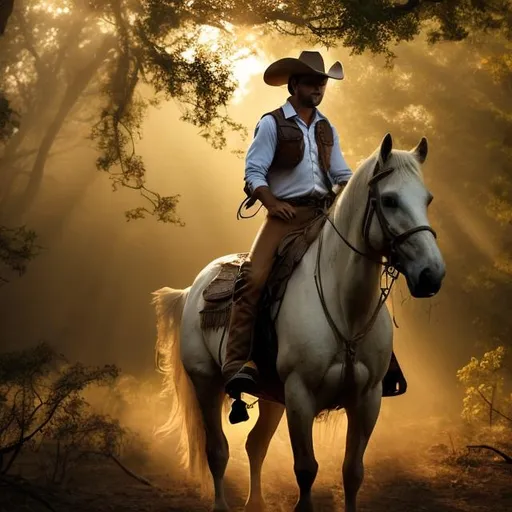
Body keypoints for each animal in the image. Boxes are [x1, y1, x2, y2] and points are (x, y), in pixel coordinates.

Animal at [152, 135, 444, 512]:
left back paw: (256, 504)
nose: (431, 274)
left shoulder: (368, 399)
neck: (344, 307)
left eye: (427, 199)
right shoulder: (300, 395)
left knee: (255, 445)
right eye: (390, 200)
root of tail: (193, 289)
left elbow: (353, 471)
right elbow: (306, 469)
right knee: (217, 451)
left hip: (271, 396)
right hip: (206, 382)